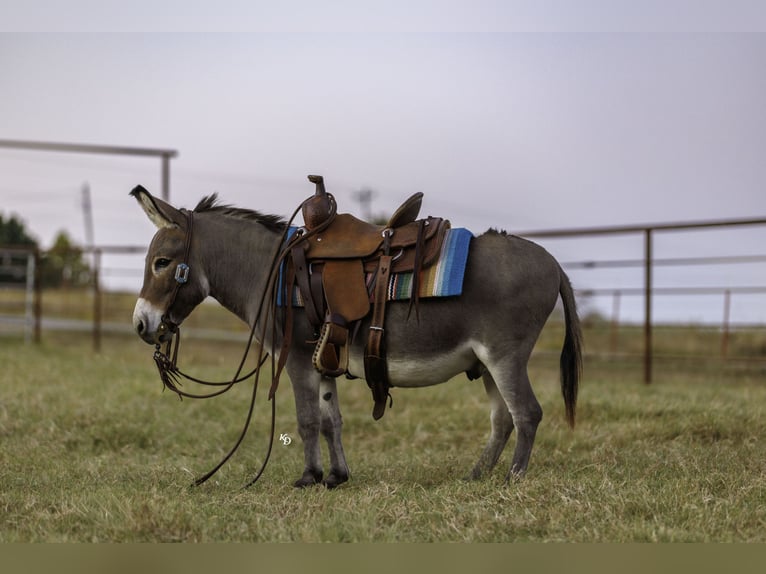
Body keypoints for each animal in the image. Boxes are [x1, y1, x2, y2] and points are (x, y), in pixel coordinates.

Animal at [130, 184, 582, 488]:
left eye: (162, 262)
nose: (140, 325)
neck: (274, 272)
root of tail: (553, 262)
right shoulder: (323, 358)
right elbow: (332, 421)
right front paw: (336, 476)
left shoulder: (296, 358)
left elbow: (308, 419)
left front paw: (308, 477)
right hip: (486, 363)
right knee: (503, 419)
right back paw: (475, 476)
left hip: (504, 356)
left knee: (527, 413)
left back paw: (512, 480)